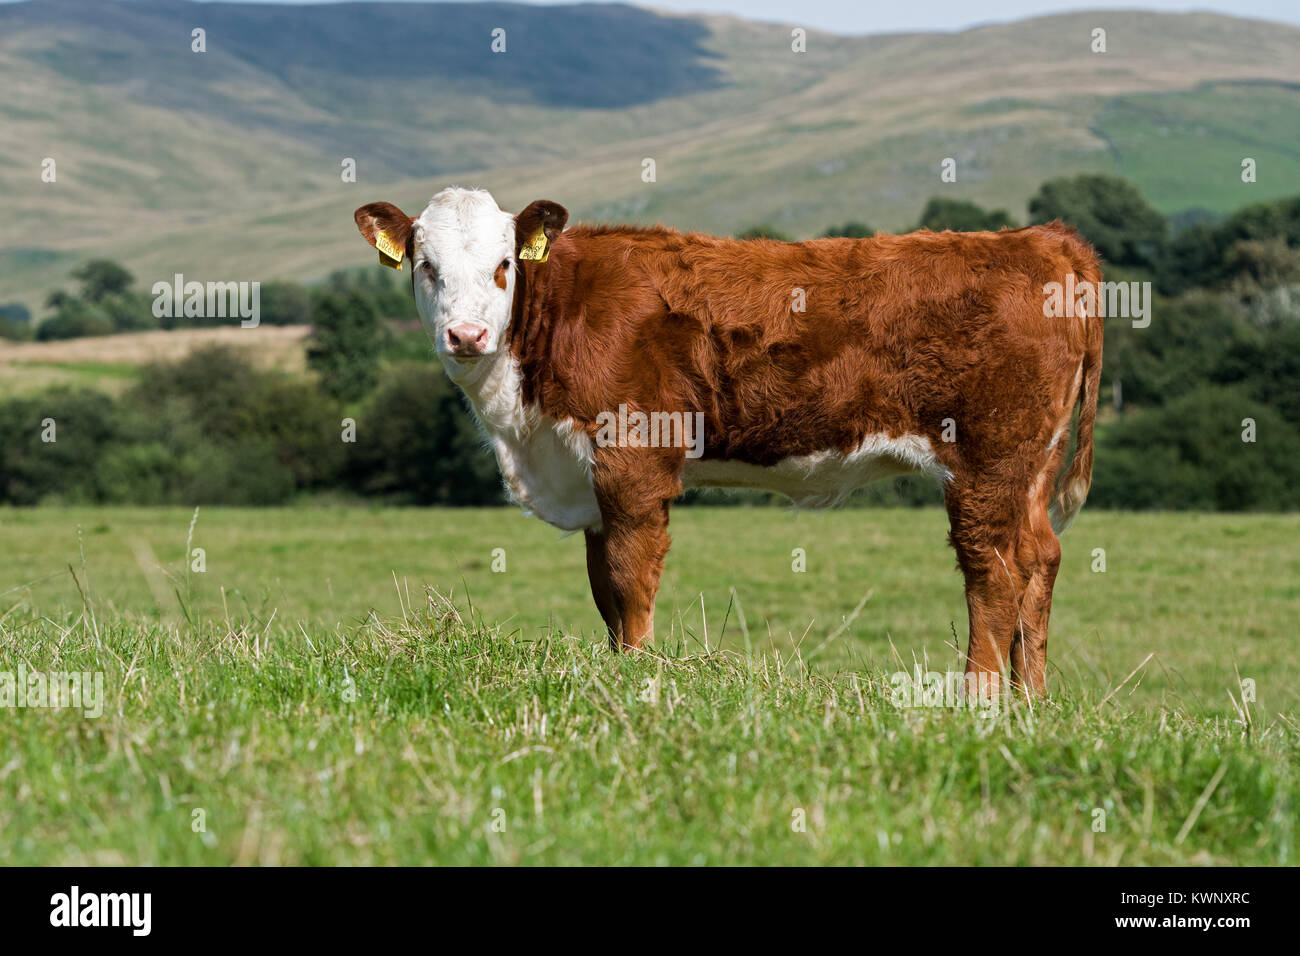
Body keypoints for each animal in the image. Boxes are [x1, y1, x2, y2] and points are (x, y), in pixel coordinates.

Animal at [353, 187, 1103, 696]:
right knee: (1039, 559)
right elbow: (602, 592)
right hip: (1031, 467)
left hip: (987, 461)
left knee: (993, 575)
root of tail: (1044, 239)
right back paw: (1029, 702)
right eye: (425, 265)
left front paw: (641, 680)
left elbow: (629, 580)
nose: (467, 335)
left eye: (505, 263)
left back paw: (981, 702)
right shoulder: (587, 478)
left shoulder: (632, 462)